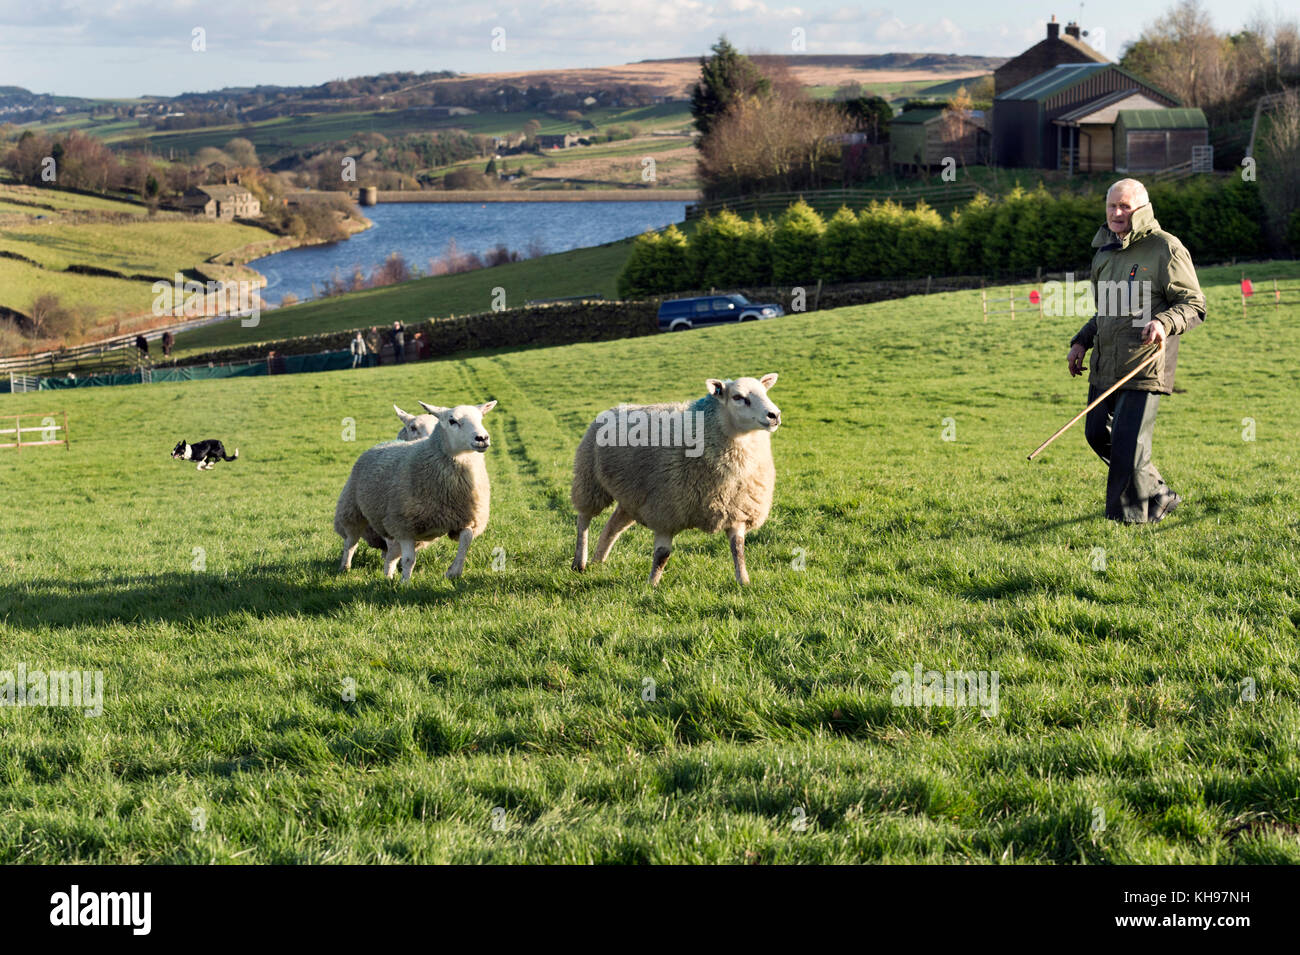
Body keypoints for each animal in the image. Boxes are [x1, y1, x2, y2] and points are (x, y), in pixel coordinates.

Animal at [335, 400, 496, 579]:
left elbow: (466, 541)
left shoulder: (466, 518)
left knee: (391, 553)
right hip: (352, 510)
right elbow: (408, 560)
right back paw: (345, 568)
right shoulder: (403, 525)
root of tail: (382, 443)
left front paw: (453, 571)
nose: (482, 438)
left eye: (481, 418)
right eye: (452, 421)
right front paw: (405, 582)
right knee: (351, 542)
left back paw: (387, 575)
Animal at [572, 371, 780, 582]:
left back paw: (598, 561)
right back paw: (579, 562)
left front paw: (743, 582)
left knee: (613, 525)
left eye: (765, 392)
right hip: (589, 479)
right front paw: (651, 585)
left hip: (632, 497)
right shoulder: (665, 512)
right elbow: (662, 555)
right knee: (583, 519)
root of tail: (615, 407)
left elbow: (738, 549)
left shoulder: (736, 511)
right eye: (738, 397)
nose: (775, 415)